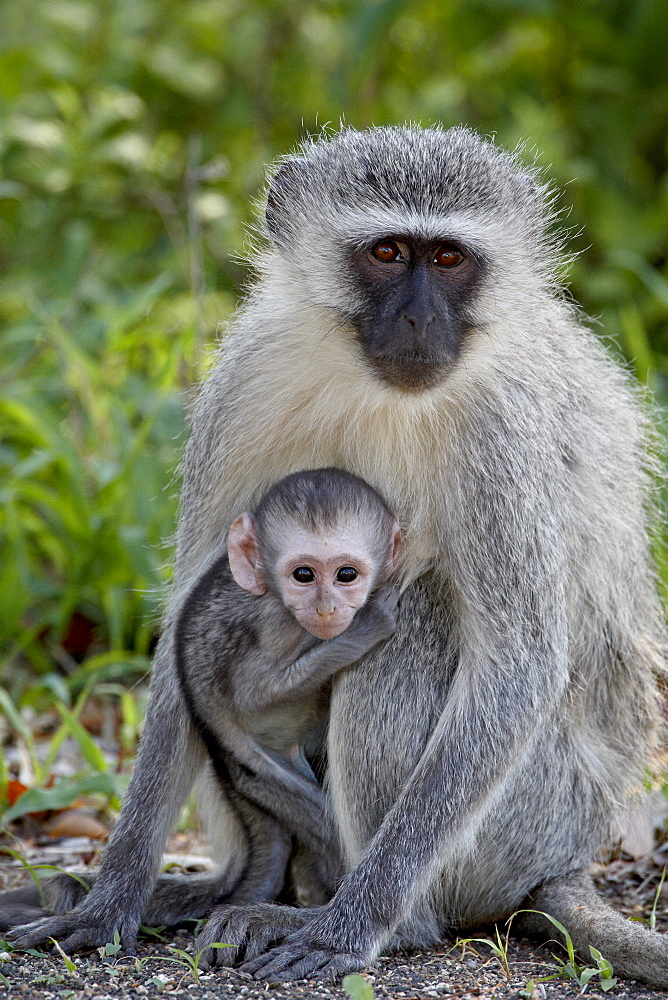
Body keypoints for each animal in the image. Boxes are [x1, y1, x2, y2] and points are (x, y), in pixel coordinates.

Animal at [174, 466, 402, 908]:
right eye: (303, 575)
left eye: (346, 574)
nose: (326, 608)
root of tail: (223, 758)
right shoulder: (275, 625)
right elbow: (252, 696)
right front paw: (364, 629)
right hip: (264, 775)